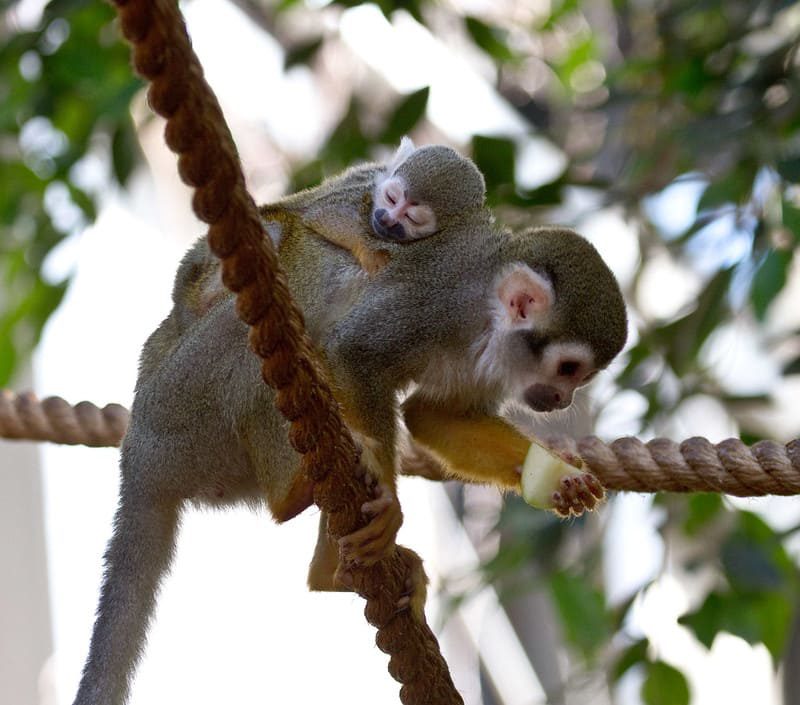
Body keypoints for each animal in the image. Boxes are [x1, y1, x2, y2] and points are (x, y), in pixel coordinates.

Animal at [72, 144, 624, 704]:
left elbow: (432, 415)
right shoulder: (434, 298)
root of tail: (138, 454)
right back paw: (297, 496)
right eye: (569, 369)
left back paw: (328, 567)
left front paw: (561, 475)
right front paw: (387, 499)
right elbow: (353, 355)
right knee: (258, 331)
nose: (562, 399)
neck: (484, 311)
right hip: (181, 408)